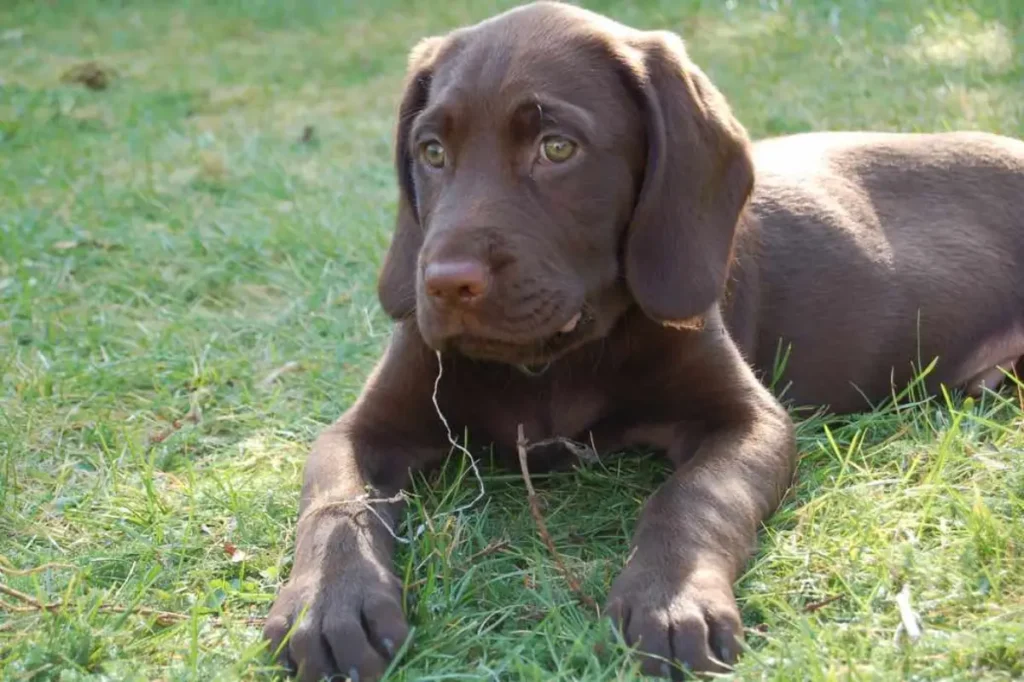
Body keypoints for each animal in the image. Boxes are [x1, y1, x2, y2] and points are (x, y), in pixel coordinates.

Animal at [264, 2, 1024, 675]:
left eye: (557, 148)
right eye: (431, 151)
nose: (445, 284)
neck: (552, 363)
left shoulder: (750, 420)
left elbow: (693, 499)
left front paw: (671, 597)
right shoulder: (364, 427)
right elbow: (335, 504)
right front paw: (330, 604)